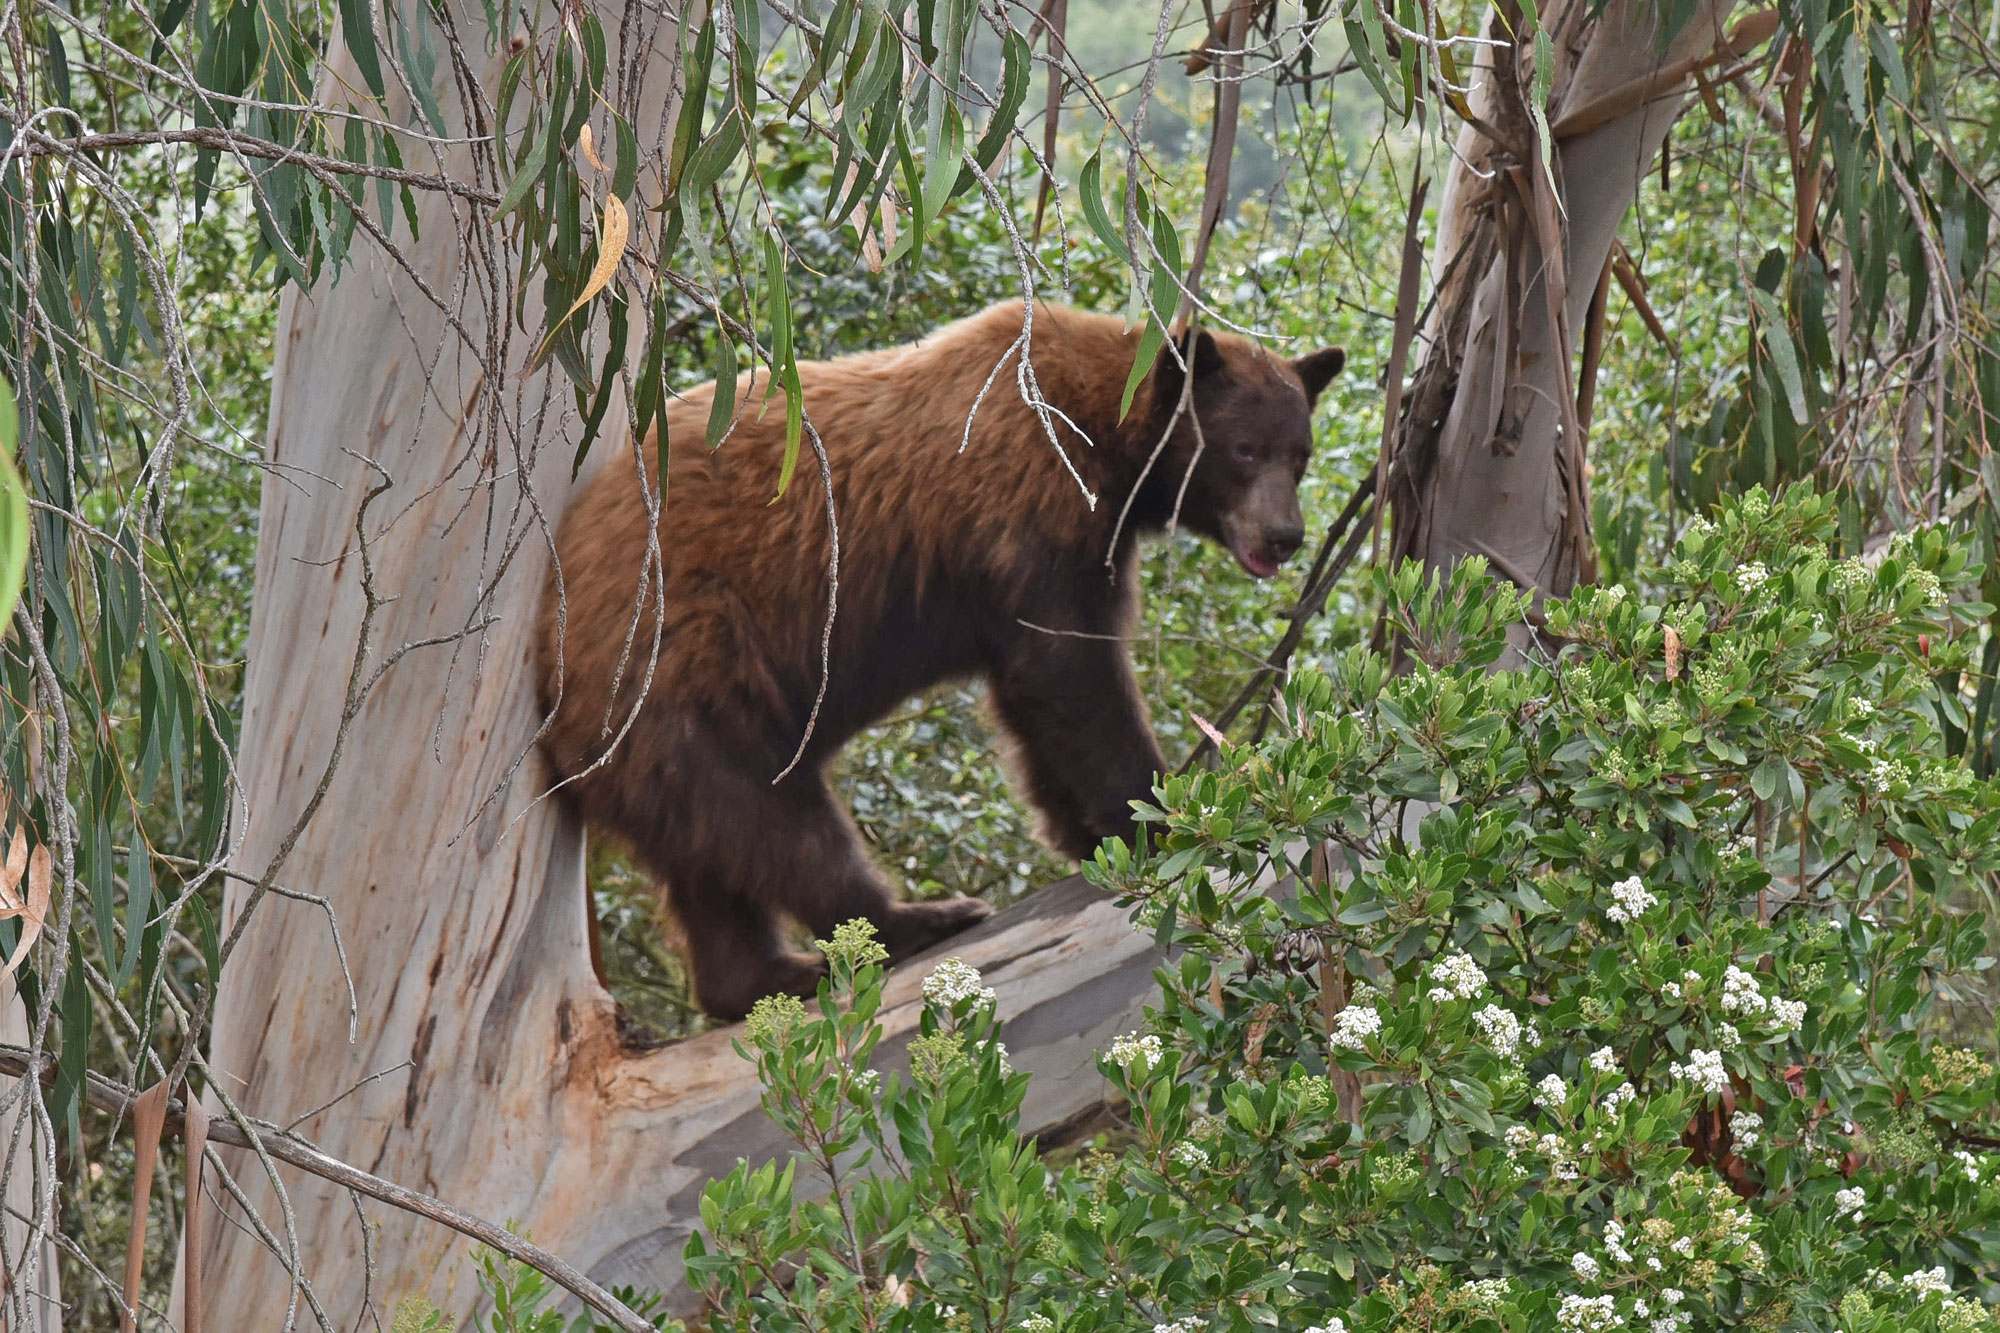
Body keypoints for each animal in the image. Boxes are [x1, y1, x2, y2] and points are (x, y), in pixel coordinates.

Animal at [537, 301, 1344, 1020]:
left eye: (1299, 452)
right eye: (1243, 449)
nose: (1284, 536)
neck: (1104, 442)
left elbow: (1039, 685)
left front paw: (1086, 830)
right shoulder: (1028, 496)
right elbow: (1071, 671)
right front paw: (1158, 812)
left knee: (707, 857)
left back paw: (767, 976)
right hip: (680, 667)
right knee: (770, 814)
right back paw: (917, 917)